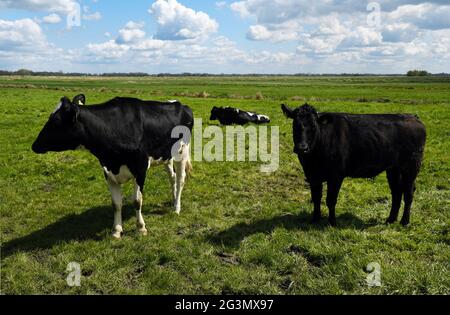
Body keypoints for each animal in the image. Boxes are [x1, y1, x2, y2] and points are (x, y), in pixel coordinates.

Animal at [31, 95, 193, 239]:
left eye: (55, 121)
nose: (34, 145)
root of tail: (180, 104)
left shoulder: (140, 169)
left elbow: (137, 201)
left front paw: (141, 228)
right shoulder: (108, 172)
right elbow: (116, 204)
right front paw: (117, 231)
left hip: (182, 152)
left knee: (180, 179)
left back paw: (176, 207)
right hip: (167, 156)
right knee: (172, 177)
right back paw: (173, 199)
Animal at [282, 103, 426, 227]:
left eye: (313, 126)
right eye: (295, 125)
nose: (302, 148)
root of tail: (413, 117)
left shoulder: (336, 176)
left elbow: (331, 200)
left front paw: (332, 223)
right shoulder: (312, 175)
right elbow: (316, 198)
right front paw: (315, 220)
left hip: (411, 166)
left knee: (408, 192)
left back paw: (404, 221)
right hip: (393, 168)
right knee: (396, 192)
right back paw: (390, 220)